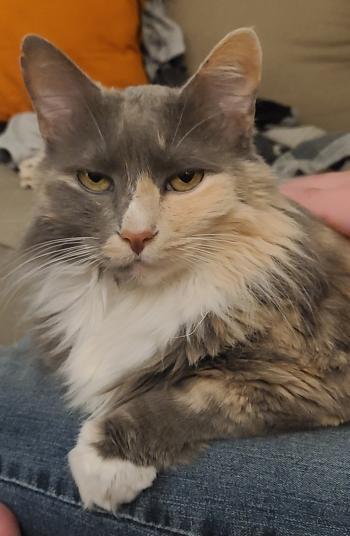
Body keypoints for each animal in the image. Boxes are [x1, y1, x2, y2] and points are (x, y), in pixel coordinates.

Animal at [16, 28, 350, 510]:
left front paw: (102, 463)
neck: (133, 298)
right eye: (94, 180)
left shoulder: (309, 375)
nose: (137, 235)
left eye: (186, 179)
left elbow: (194, 395)